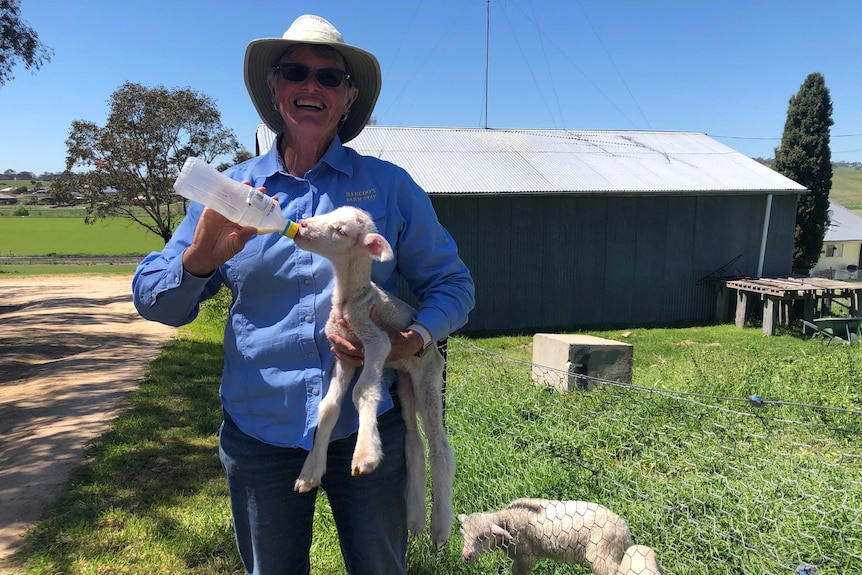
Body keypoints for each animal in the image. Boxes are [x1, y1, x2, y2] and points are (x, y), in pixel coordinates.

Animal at [292, 206, 460, 548]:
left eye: (341, 230)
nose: (301, 225)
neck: (352, 300)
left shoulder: (376, 342)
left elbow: (363, 392)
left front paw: (365, 456)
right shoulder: (343, 353)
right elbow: (328, 406)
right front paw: (309, 474)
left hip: (430, 377)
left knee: (439, 446)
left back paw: (439, 527)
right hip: (405, 380)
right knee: (413, 441)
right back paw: (415, 521)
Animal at [460, 498, 640, 572]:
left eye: (482, 538)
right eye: (464, 536)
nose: (466, 556)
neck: (509, 520)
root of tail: (625, 531)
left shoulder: (525, 557)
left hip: (602, 553)